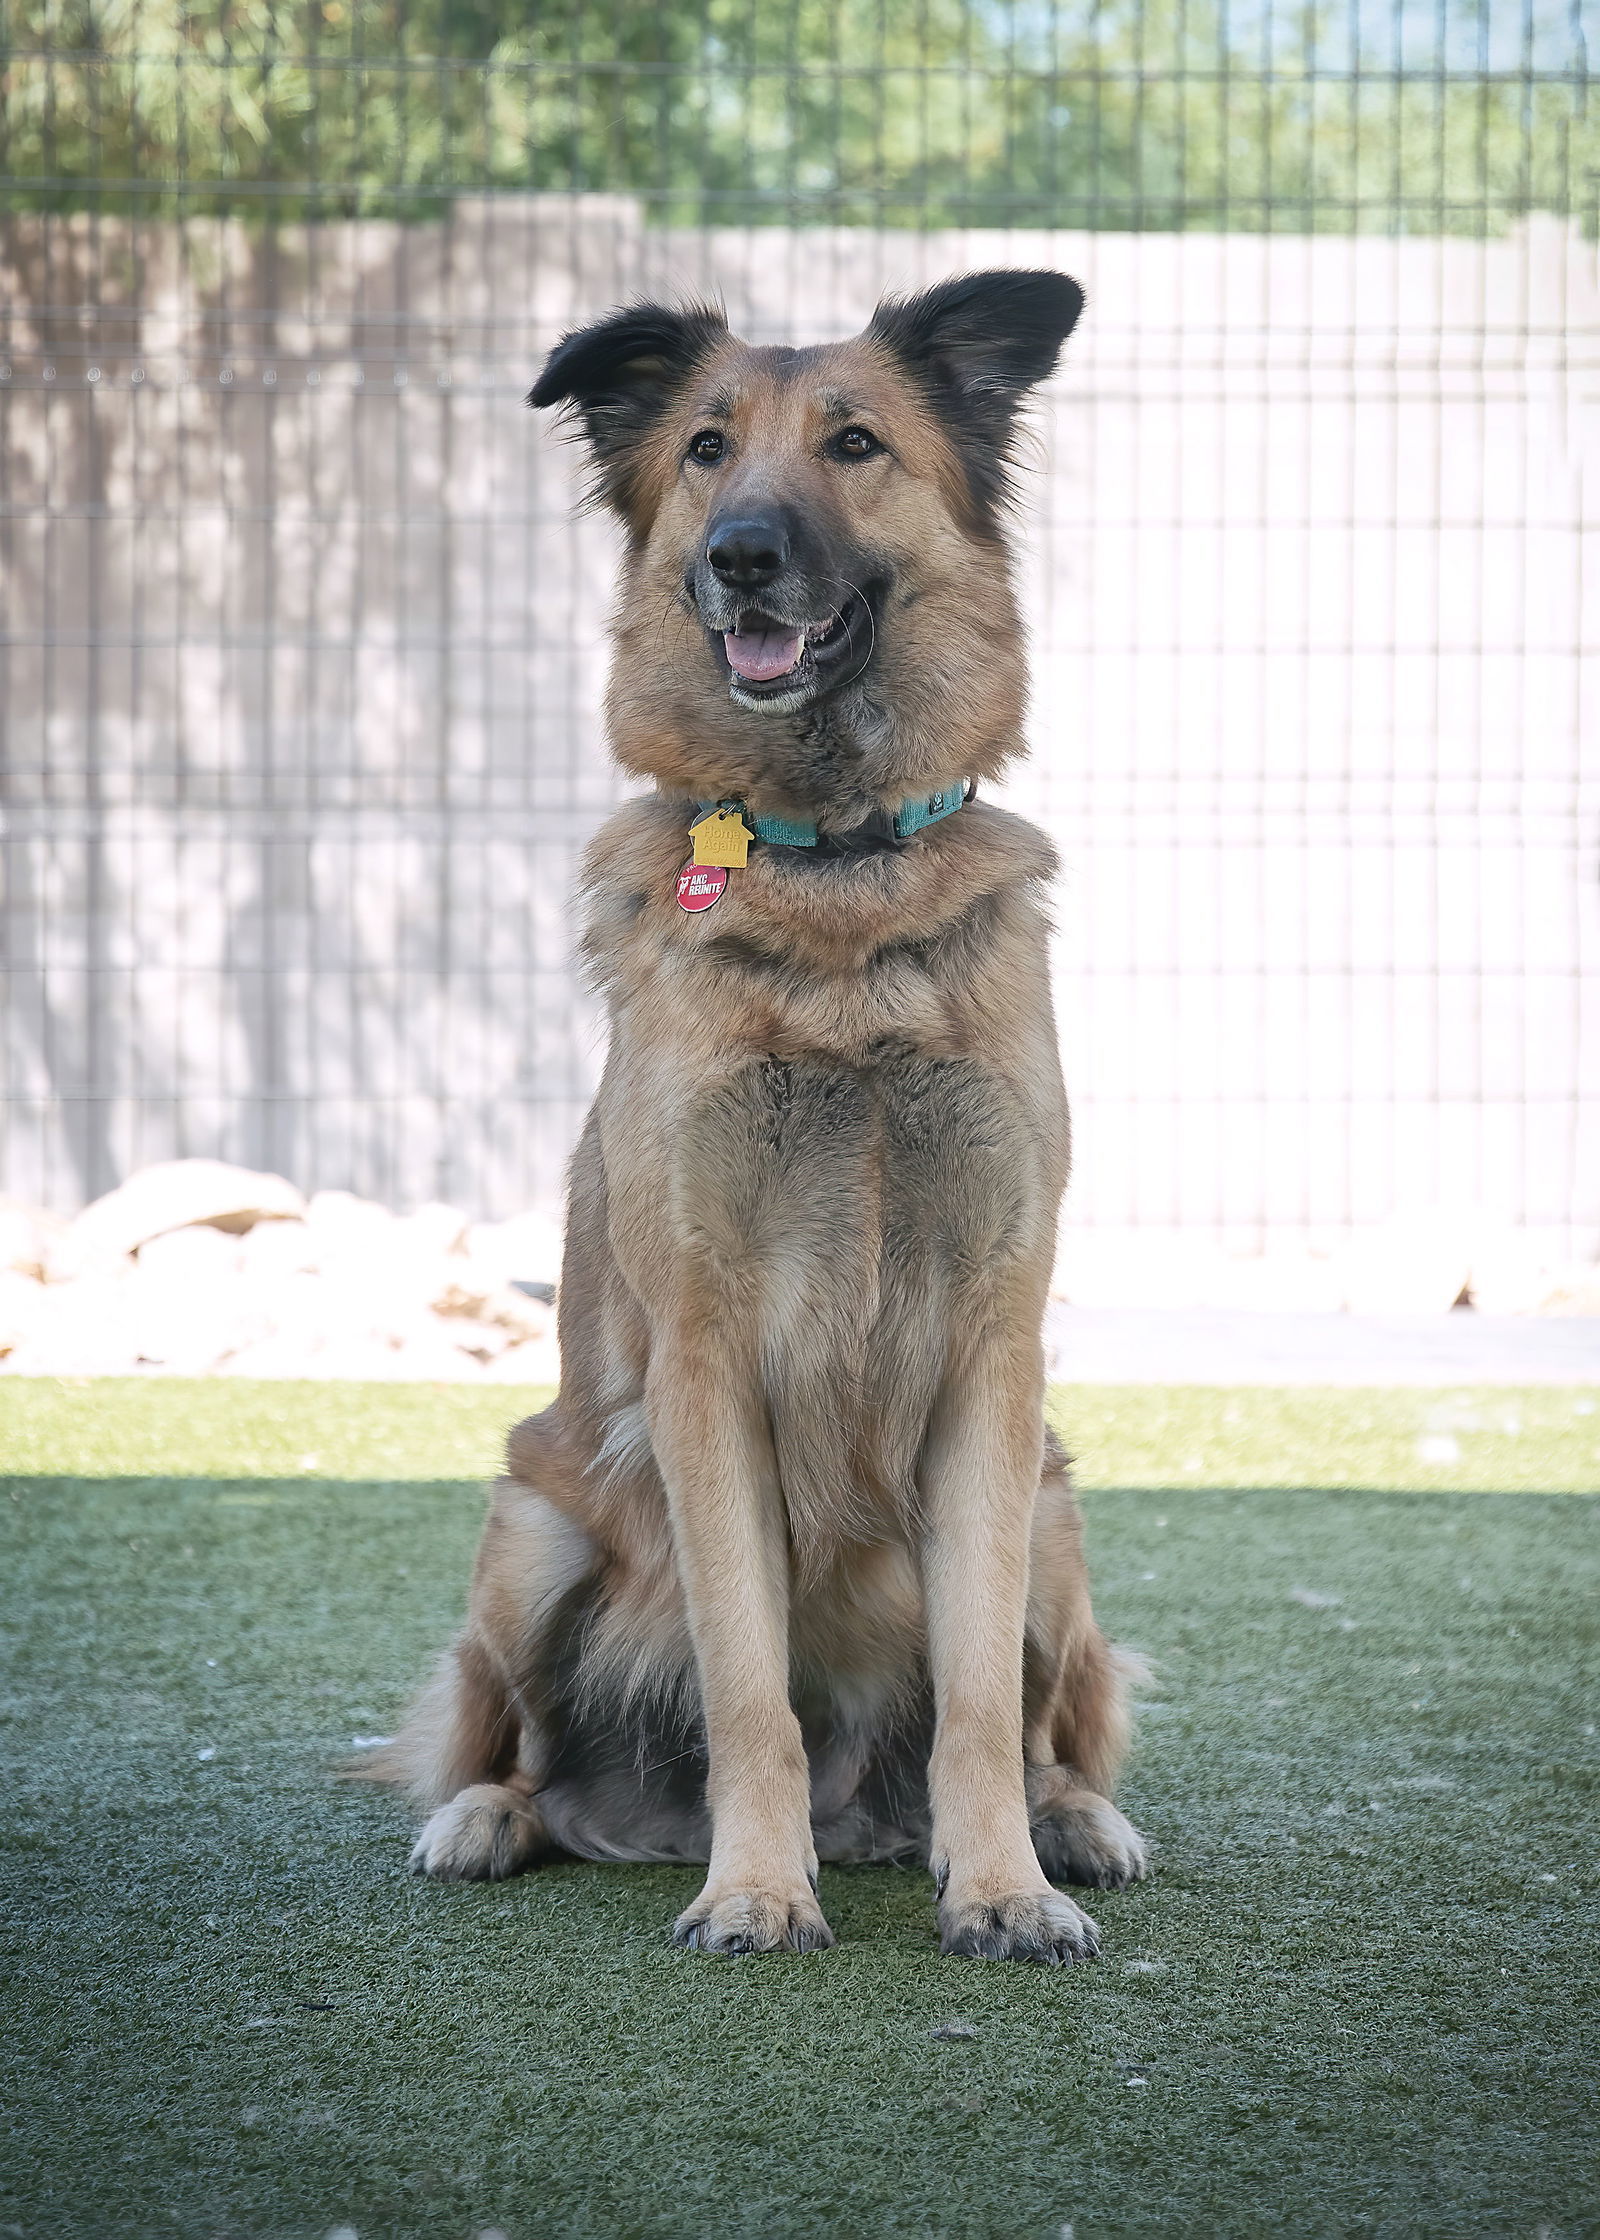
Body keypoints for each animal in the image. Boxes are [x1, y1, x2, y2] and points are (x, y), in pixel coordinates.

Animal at [369, 266, 1147, 1962]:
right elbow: (746, 1688)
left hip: (1058, 1518)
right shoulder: (705, 1364)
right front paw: (756, 1888)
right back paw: (488, 1821)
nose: (739, 556)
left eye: (855, 444)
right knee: (511, 1745)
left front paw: (1002, 1886)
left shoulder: (996, 1364)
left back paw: (1071, 1822)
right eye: (707, 449)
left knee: (1054, 1719)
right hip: (533, 1529)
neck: (833, 872)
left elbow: (979, 1700)